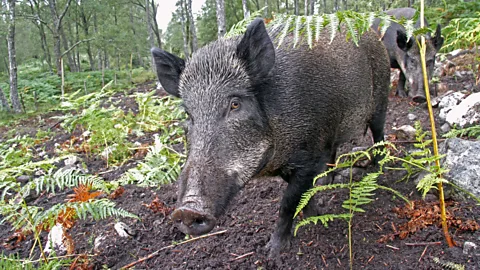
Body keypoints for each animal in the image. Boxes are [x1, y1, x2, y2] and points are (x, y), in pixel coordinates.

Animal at [152, 18, 392, 255]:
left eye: (235, 104)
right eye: (188, 114)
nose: (186, 211)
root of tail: (373, 33)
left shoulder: (308, 155)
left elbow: (288, 202)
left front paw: (273, 252)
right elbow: (304, 195)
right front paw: (315, 214)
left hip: (382, 97)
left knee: (379, 135)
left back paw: (377, 170)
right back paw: (327, 180)